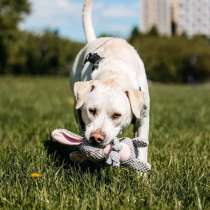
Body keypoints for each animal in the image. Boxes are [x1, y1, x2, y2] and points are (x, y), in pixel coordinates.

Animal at [70, 0, 149, 162]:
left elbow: (142, 144)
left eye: (116, 115)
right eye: (92, 110)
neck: (114, 75)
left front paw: (142, 168)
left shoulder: (144, 116)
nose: (96, 138)